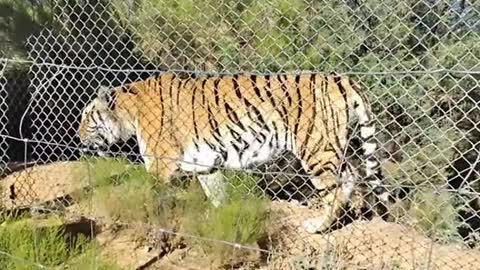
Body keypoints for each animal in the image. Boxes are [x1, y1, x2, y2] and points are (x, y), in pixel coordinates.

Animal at [77, 72, 388, 234]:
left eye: (87, 117)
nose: (77, 137)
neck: (129, 112)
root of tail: (340, 78)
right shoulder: (205, 164)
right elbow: (217, 196)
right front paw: (221, 223)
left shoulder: (158, 165)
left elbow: (153, 199)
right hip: (330, 146)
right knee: (351, 174)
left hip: (316, 147)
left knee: (334, 187)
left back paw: (318, 226)